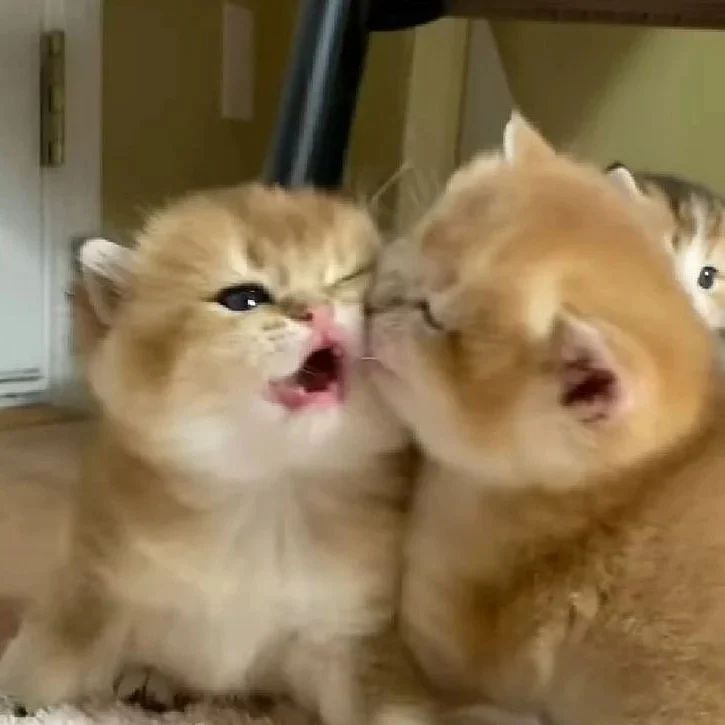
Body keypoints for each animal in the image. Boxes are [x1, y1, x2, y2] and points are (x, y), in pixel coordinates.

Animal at [0, 184, 434, 725]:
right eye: (243, 299)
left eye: (349, 281)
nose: (318, 310)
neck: (267, 491)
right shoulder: (95, 587)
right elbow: (45, 663)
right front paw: (17, 701)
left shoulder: (349, 635)